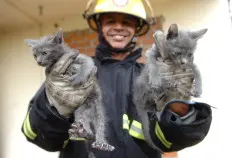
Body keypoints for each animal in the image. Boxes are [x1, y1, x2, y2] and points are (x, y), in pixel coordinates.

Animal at [133, 23, 208, 152]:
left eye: (189, 54)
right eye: (178, 53)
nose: (183, 62)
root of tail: (138, 100)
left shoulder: (190, 63)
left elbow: (197, 71)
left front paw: (198, 88)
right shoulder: (152, 52)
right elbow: (152, 63)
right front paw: (155, 78)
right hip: (142, 83)